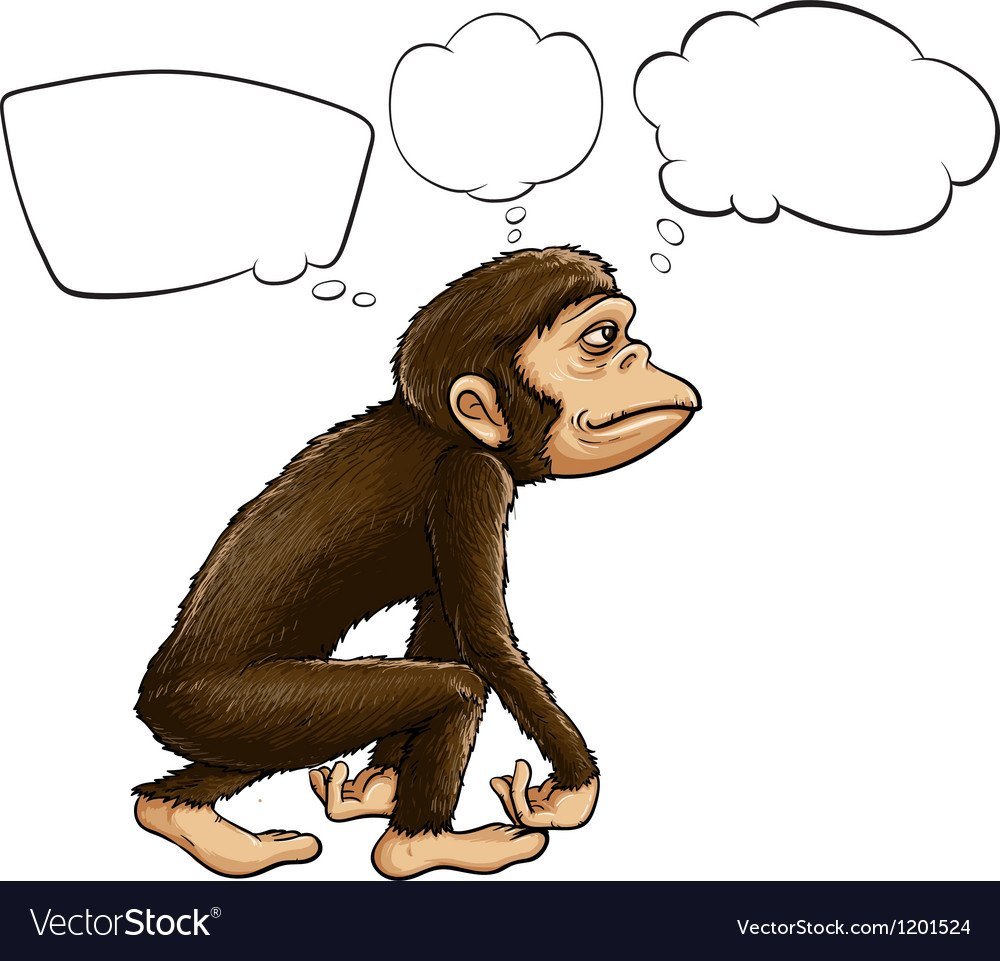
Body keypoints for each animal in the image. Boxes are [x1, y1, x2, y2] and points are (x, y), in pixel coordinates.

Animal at [133, 247, 700, 879]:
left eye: (624, 334)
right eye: (601, 339)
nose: (637, 354)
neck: (443, 428)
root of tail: (155, 700)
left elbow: (443, 621)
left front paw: (376, 786)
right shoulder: (472, 480)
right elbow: (484, 642)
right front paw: (576, 791)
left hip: (243, 725)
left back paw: (182, 816)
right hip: (247, 707)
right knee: (452, 691)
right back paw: (417, 846)